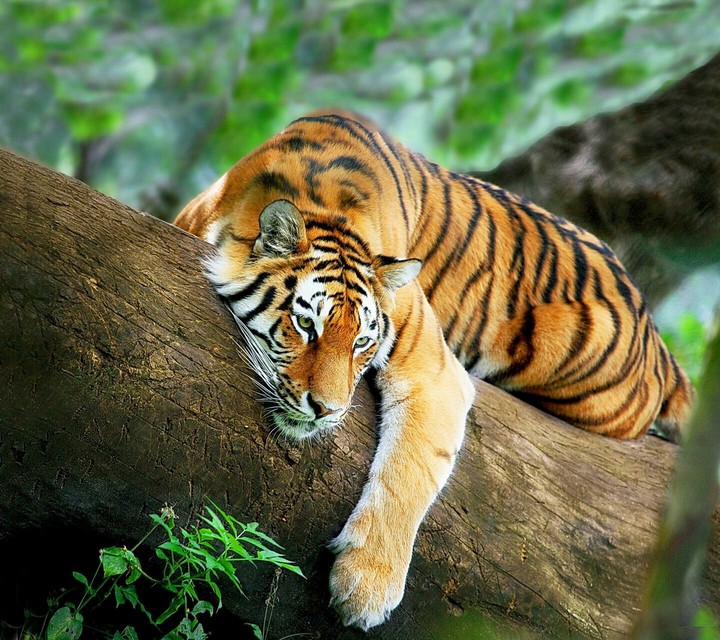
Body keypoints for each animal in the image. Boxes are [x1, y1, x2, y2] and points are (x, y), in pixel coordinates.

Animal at [174, 113, 694, 630]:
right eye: (306, 325)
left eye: (361, 342)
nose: (327, 410)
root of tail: (654, 332)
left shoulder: (435, 371)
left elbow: (410, 471)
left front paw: (366, 588)